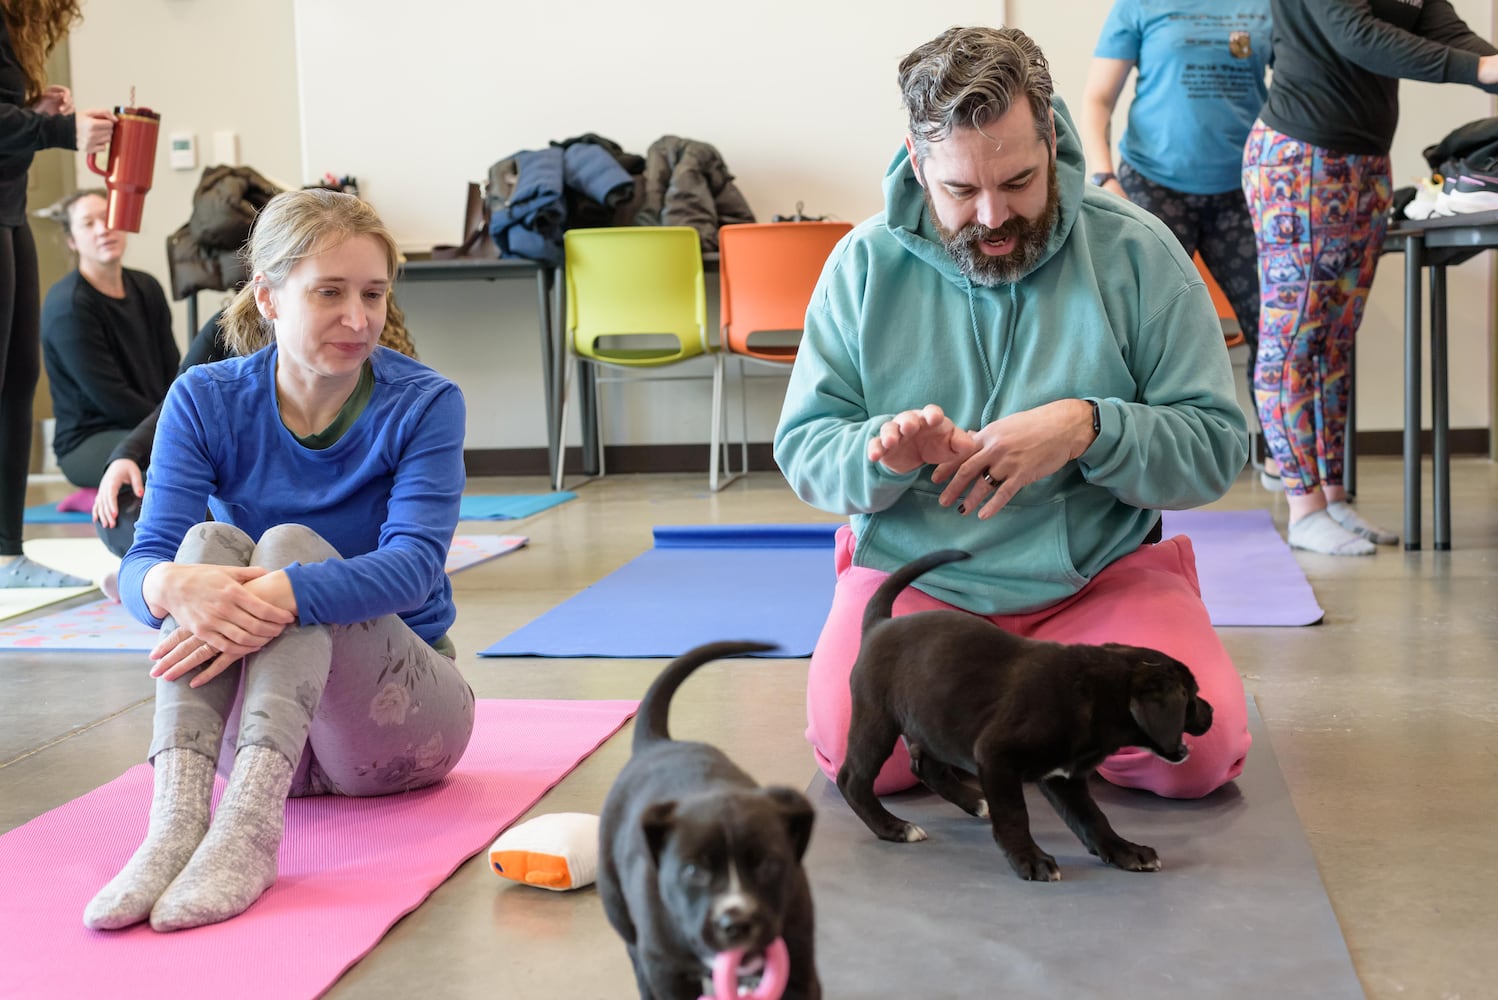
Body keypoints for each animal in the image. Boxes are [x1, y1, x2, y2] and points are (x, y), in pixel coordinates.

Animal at [602, 640, 826, 999]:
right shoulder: (667, 969)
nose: (736, 923)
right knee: (635, 956)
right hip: (621, 913)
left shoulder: (800, 963)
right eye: (693, 871)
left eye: (768, 865)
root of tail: (655, 743)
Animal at [838, 547, 1210, 880]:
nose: (1211, 711)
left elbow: (1093, 818)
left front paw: (1125, 851)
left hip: (933, 718)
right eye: (1191, 696)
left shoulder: (1064, 778)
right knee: (853, 780)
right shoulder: (996, 757)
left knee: (927, 766)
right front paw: (1029, 859)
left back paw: (974, 802)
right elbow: (1015, 814)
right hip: (878, 722)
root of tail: (879, 625)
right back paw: (894, 827)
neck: (1091, 693)